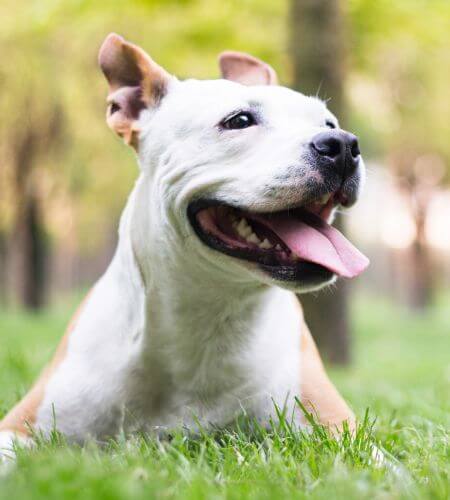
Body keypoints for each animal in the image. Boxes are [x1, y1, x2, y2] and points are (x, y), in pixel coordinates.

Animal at [0, 33, 370, 462]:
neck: (208, 312)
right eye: (239, 120)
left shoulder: (340, 431)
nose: (343, 143)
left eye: (329, 123)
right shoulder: (21, 425)